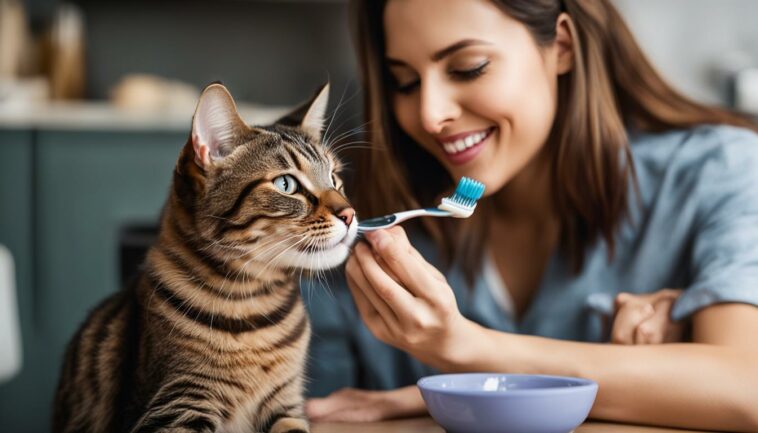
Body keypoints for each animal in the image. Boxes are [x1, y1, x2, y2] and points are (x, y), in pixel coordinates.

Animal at [55, 82, 358, 432]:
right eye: (286, 184)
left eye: (334, 178)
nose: (350, 214)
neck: (253, 306)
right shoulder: (178, 405)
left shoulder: (287, 404)